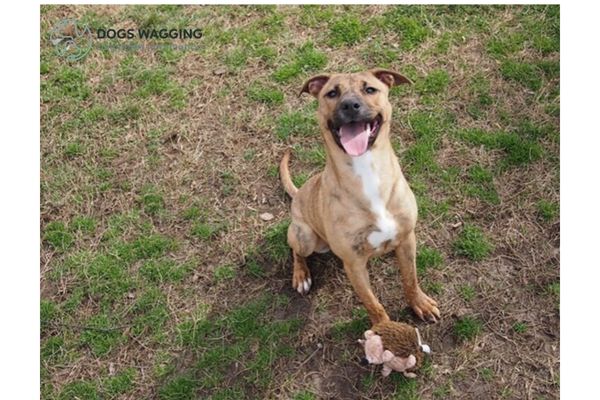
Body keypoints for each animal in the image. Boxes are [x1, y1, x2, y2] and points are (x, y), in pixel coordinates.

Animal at [278, 69, 438, 324]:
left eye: (370, 89)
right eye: (332, 93)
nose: (350, 105)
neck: (366, 169)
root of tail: (299, 193)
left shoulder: (407, 238)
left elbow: (410, 279)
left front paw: (419, 304)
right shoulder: (353, 264)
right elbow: (373, 304)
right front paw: (383, 327)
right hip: (306, 236)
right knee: (295, 249)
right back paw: (301, 275)